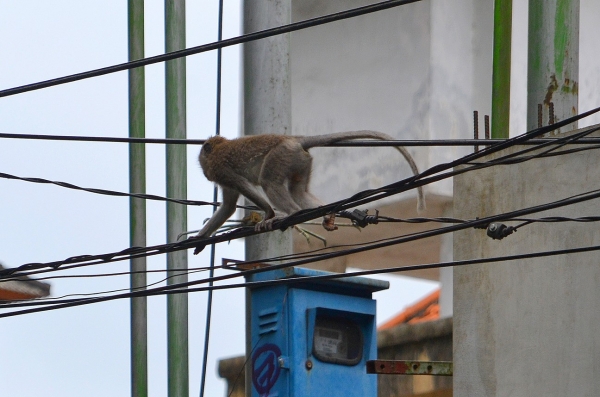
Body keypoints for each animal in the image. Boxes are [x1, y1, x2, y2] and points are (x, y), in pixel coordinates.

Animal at [195, 130, 424, 248]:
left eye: (203, 159)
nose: (204, 172)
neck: (219, 147)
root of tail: (294, 140)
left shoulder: (221, 170)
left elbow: (241, 187)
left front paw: (268, 214)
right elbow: (229, 206)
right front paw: (199, 239)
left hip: (280, 155)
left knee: (269, 181)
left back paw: (290, 213)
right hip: (299, 161)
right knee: (299, 191)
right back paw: (326, 214)